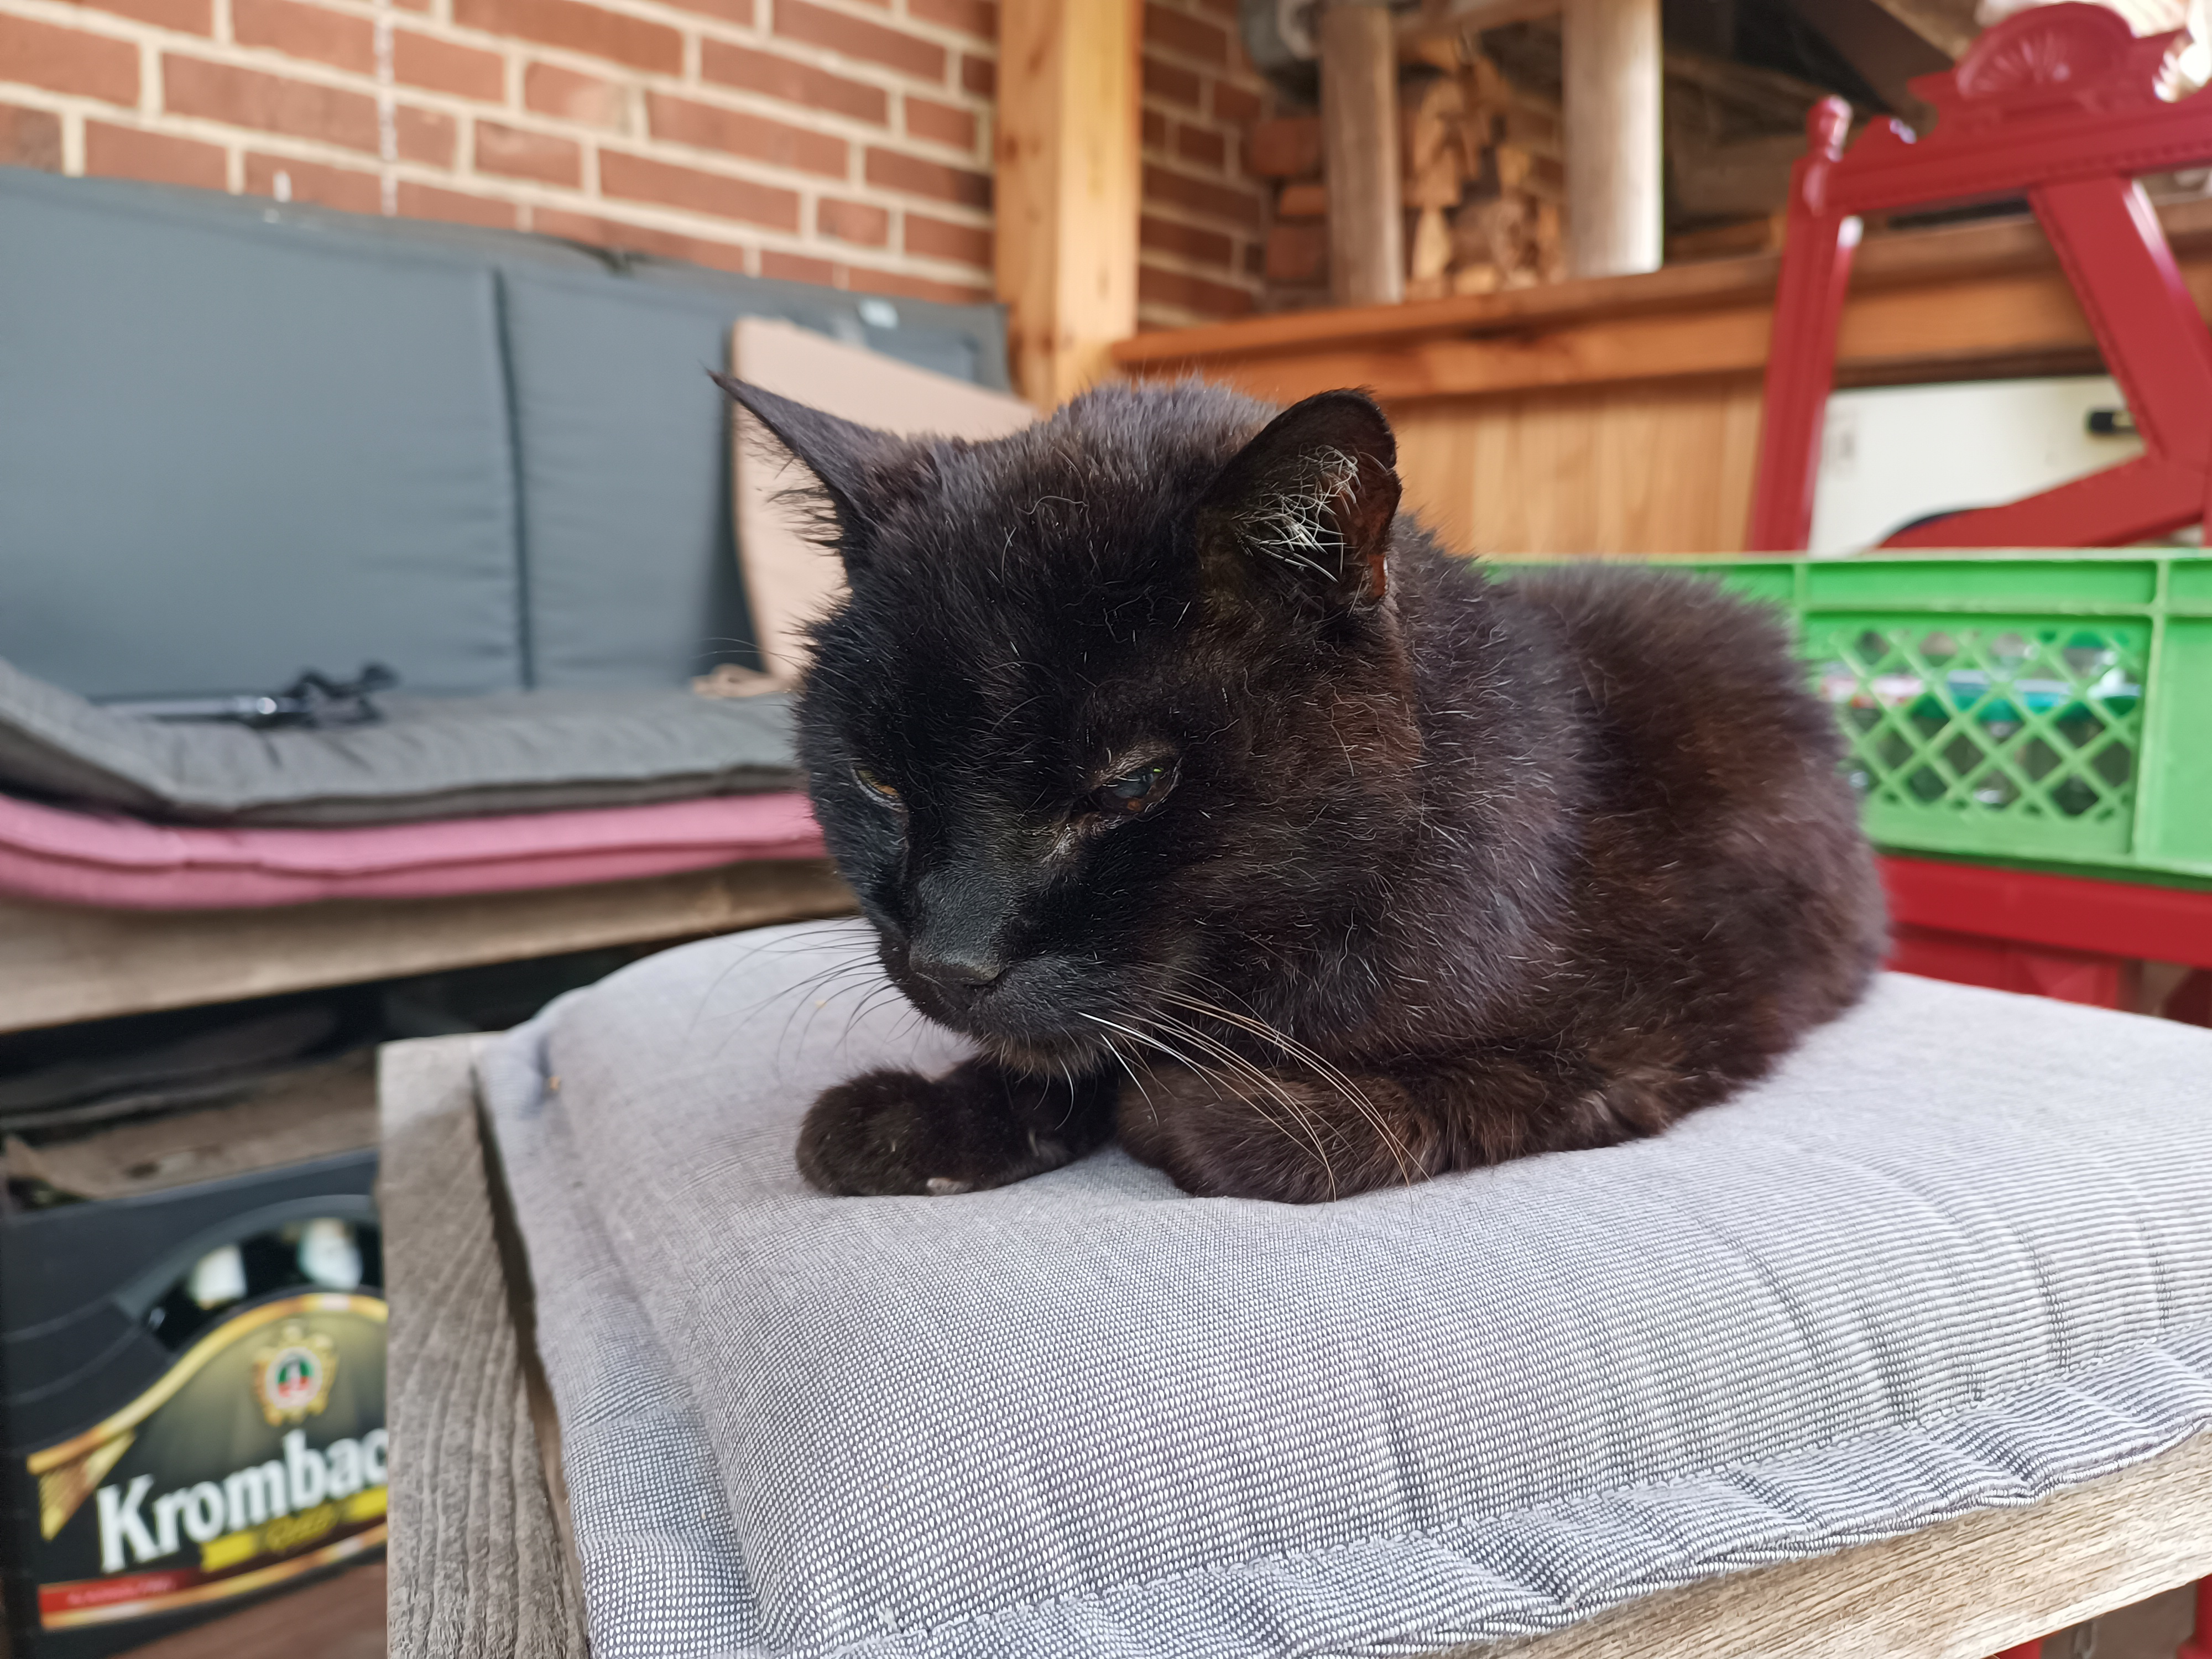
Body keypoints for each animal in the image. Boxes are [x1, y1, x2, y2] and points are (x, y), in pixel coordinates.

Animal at [714, 374, 1887, 1204]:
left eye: (1133, 786)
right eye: (878, 781)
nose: (951, 962)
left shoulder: (1659, 1025)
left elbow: (1440, 1096)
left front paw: (1202, 1111)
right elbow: (1067, 1047)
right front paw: (934, 1119)